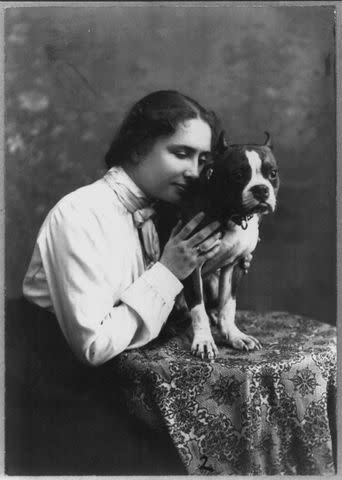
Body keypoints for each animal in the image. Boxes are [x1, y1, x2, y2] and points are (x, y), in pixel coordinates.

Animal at [156, 132, 280, 360]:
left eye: (272, 173)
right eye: (238, 175)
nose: (261, 189)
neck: (231, 214)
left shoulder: (235, 265)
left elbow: (228, 305)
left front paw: (234, 335)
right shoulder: (190, 263)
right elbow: (198, 308)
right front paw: (204, 341)